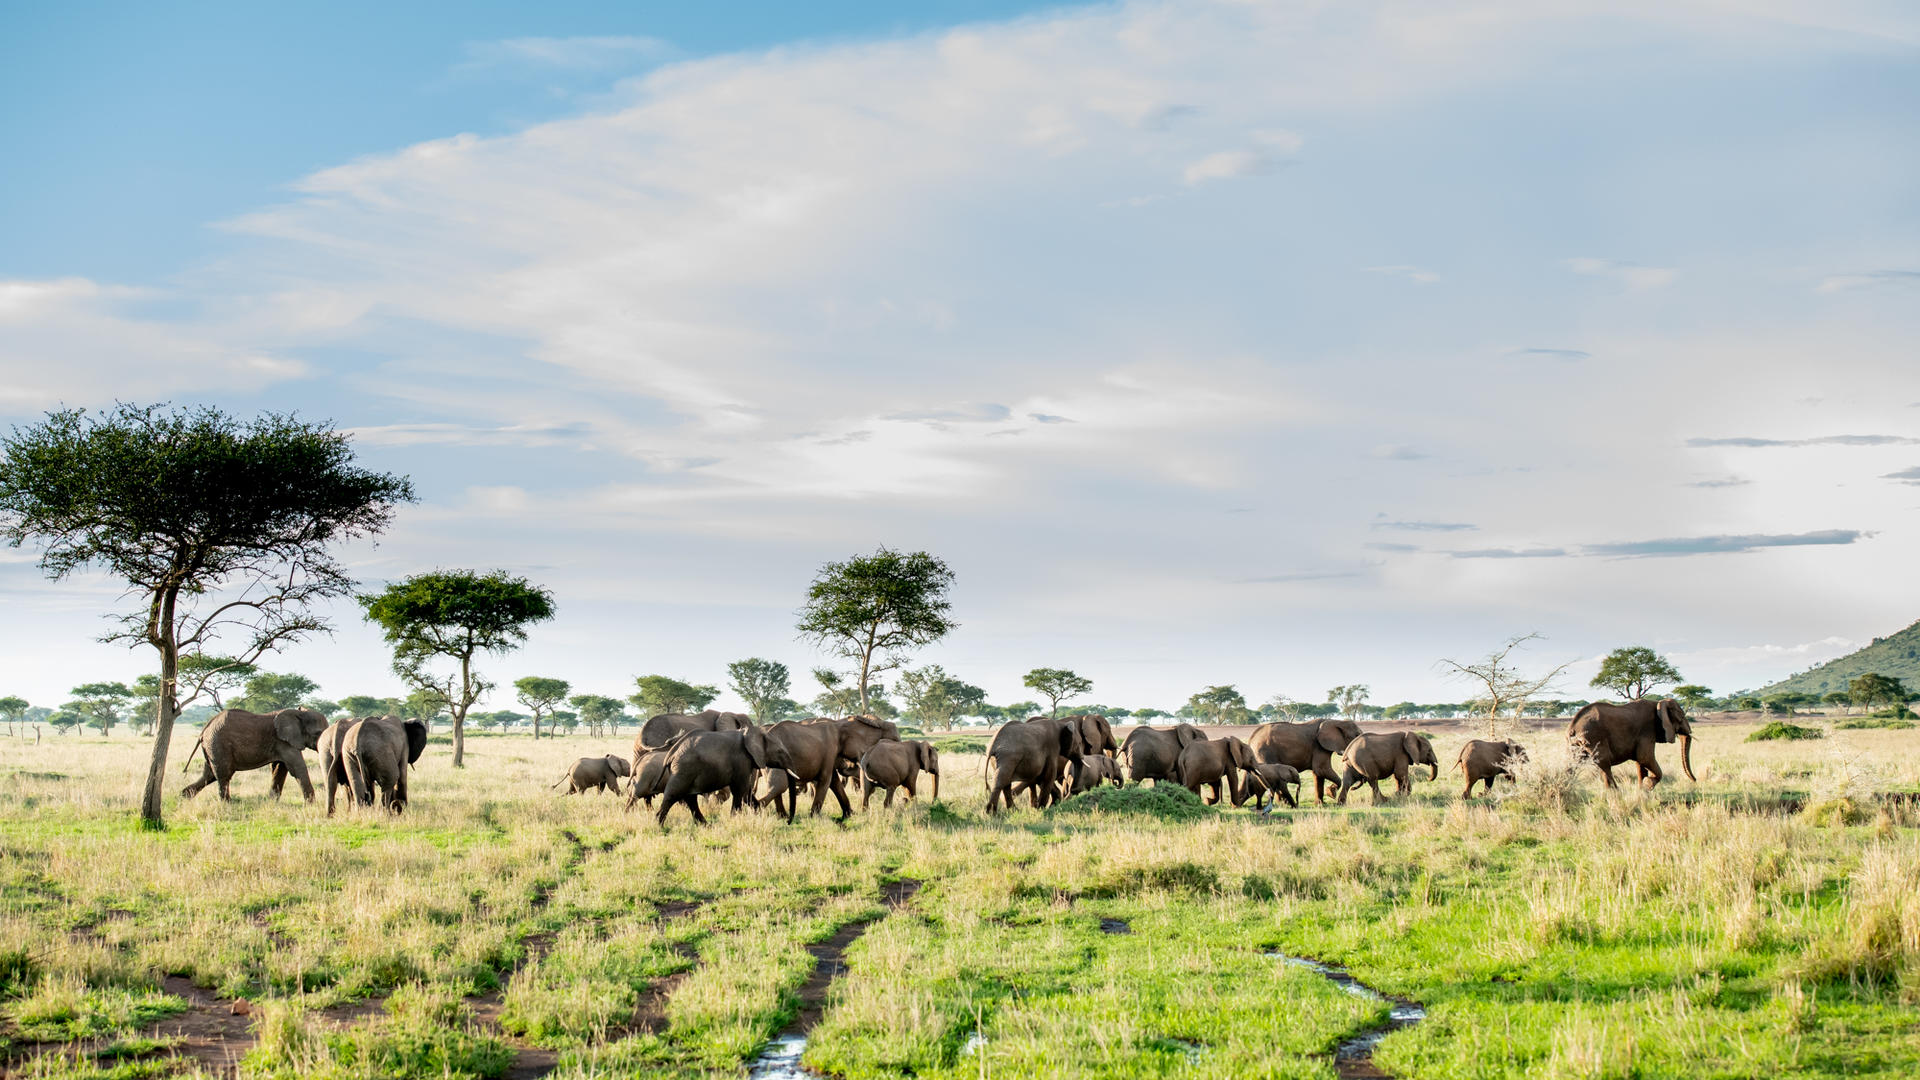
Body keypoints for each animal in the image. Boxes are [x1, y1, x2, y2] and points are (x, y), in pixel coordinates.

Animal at [181, 707, 331, 802]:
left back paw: (184, 797)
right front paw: (311, 804)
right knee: (223, 775)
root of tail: (205, 729)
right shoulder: (284, 742)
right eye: (317, 733)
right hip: (218, 744)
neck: (298, 713)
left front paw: (272, 803)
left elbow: (279, 769)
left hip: (212, 747)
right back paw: (227, 804)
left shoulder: (282, 743)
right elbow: (297, 768)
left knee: (209, 775)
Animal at [655, 723, 792, 825]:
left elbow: (746, 791)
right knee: (673, 795)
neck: (751, 733)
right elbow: (740, 789)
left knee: (690, 798)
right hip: (683, 770)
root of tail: (671, 752)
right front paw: (734, 819)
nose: (788, 821)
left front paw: (757, 812)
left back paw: (705, 825)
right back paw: (659, 825)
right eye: (780, 752)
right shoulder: (741, 760)